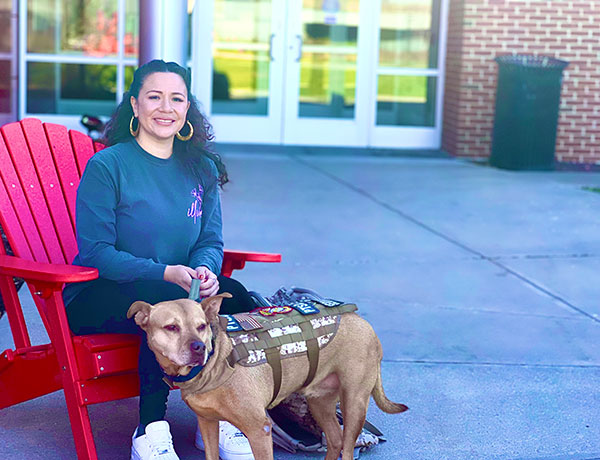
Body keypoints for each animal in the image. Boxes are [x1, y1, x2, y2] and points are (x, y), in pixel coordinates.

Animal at [126, 294, 408, 460]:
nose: (198, 347)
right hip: (320, 401)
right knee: (335, 439)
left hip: (354, 402)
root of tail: (361, 319)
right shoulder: (207, 423)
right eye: (171, 327)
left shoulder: (259, 430)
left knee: (347, 446)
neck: (214, 364)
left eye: (201, 326)